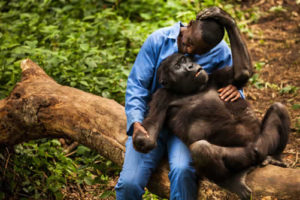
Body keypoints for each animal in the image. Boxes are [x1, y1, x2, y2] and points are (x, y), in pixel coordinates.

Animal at [132, 7, 290, 199]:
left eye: (187, 60)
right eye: (178, 66)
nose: (191, 66)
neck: (190, 89)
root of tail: (258, 152)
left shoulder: (215, 75)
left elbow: (241, 74)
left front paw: (223, 16)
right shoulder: (160, 99)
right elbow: (152, 130)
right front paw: (140, 134)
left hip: (263, 141)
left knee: (279, 108)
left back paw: (275, 156)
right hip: (244, 156)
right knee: (201, 150)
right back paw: (231, 180)